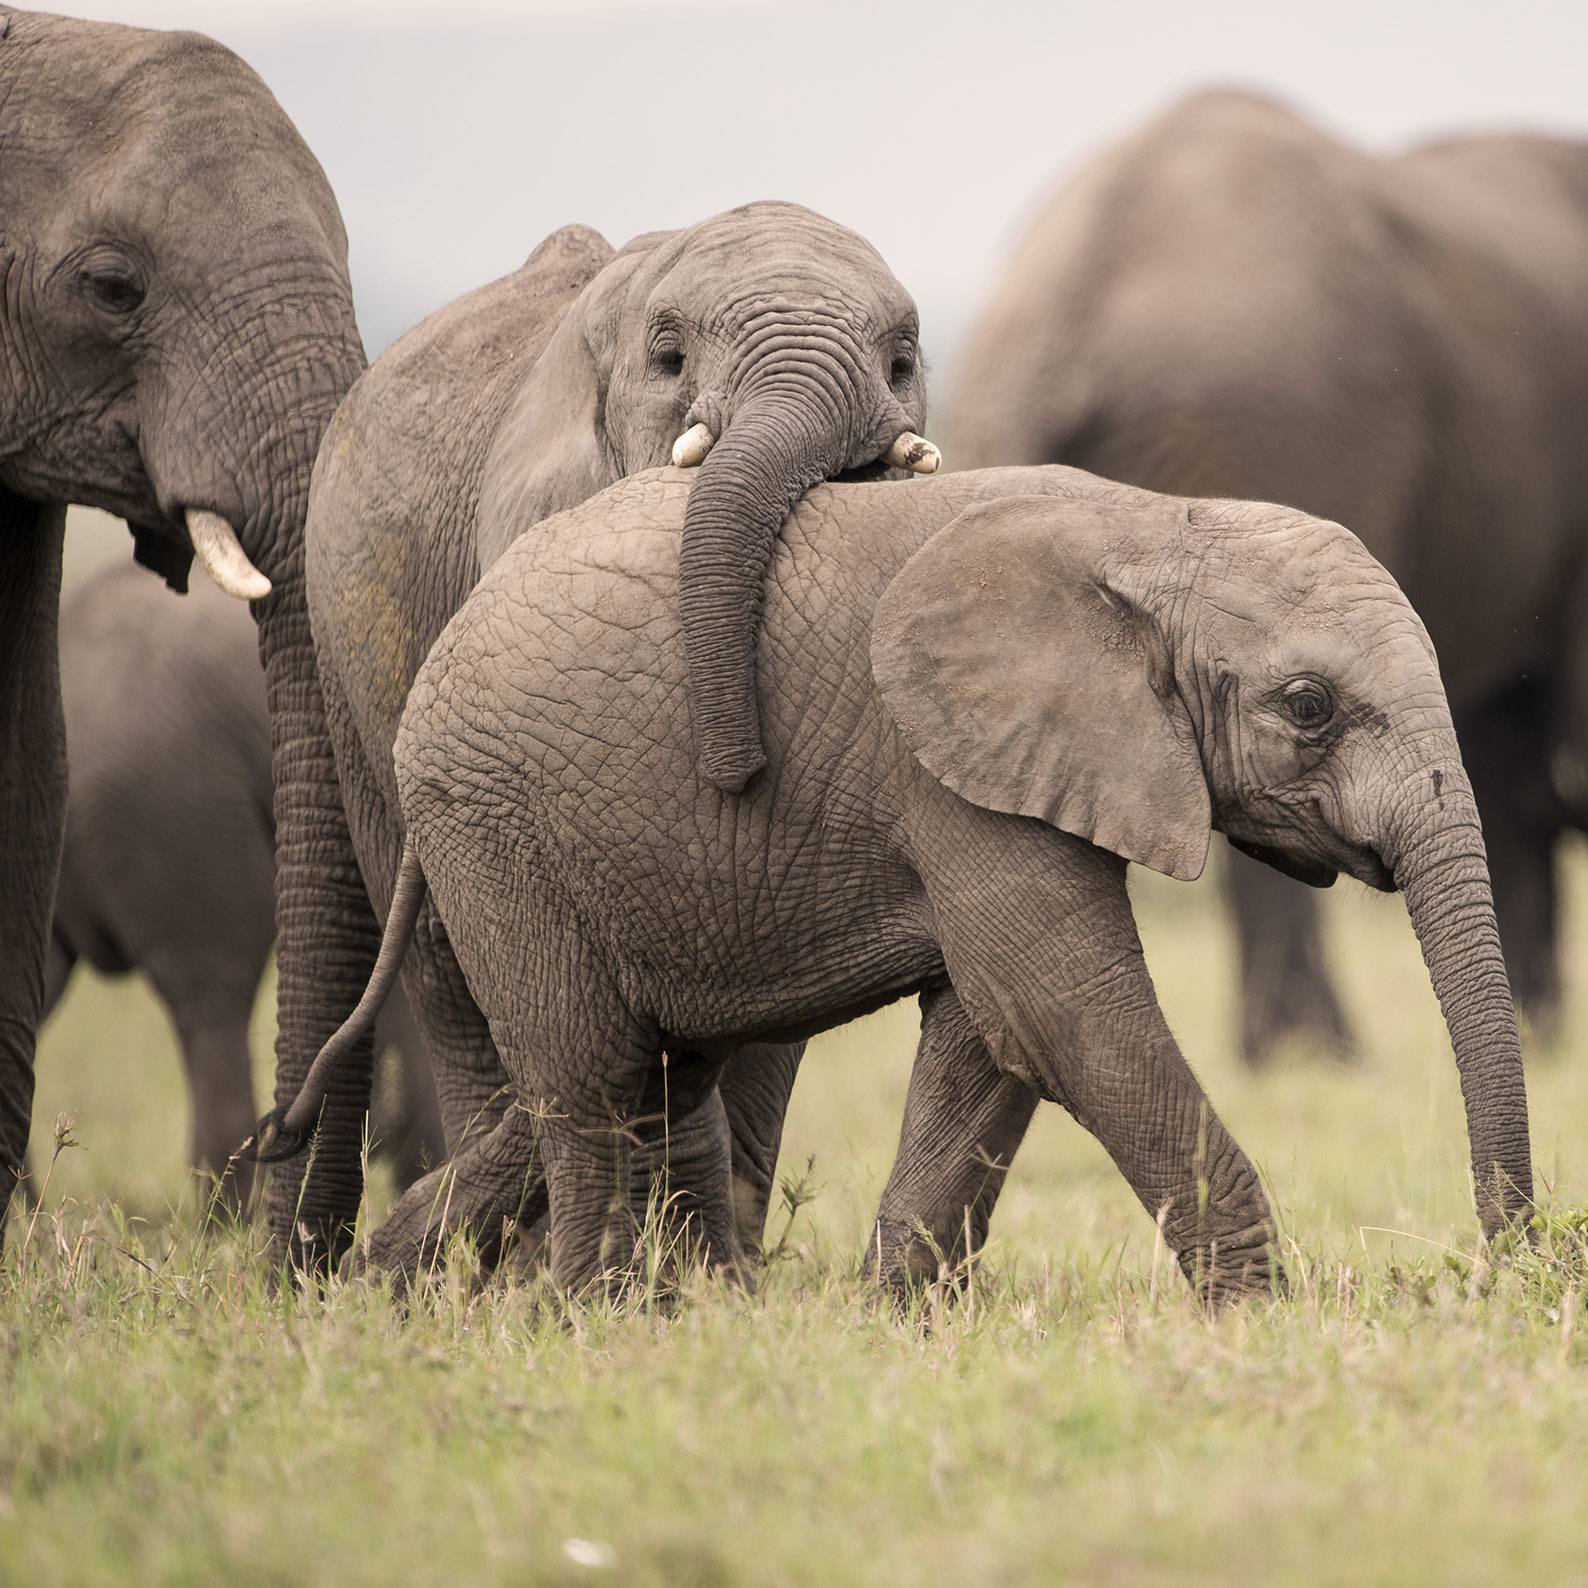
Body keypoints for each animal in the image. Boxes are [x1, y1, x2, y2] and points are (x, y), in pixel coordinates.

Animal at [266, 463, 1530, 1302]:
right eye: (1308, 707)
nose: (1503, 1267)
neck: (1154, 524)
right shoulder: (946, 768)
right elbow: (1067, 1018)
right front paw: (1260, 1317)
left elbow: (990, 1039)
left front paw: (895, 1318)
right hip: (492, 822)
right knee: (590, 1074)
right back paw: (598, 1315)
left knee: (636, 1066)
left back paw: (382, 1299)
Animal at [276, 201, 940, 1264]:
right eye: (669, 359)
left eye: (903, 359)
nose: (738, 766)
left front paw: (710, 1276)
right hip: (346, 680)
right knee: (447, 976)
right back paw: (507, 1272)